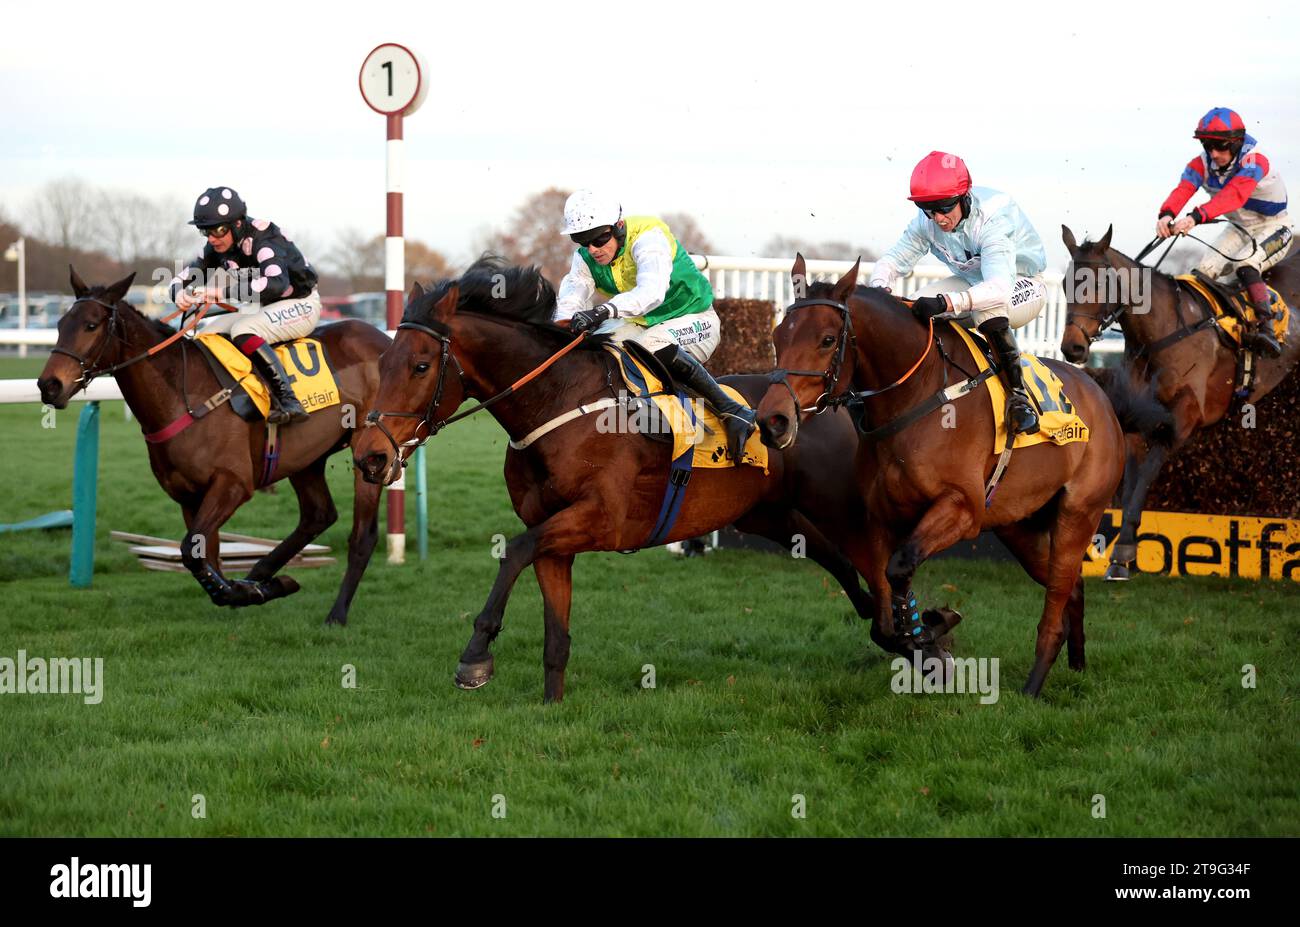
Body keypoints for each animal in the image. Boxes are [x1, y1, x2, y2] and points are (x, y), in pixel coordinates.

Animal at [39, 271, 390, 626]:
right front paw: (251, 589)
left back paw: (336, 613)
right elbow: (205, 554)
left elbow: (191, 553)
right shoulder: (188, 496)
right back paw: (260, 573)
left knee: (362, 536)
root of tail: (385, 341)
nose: (48, 385)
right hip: (307, 457)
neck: (182, 396)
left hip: (370, 453)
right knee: (318, 515)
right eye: (61, 322)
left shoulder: (233, 484)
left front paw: (245, 592)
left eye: (91, 325)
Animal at [759, 253, 1164, 696]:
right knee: (1072, 586)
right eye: (778, 335)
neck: (916, 398)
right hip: (1019, 528)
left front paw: (928, 635)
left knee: (1058, 595)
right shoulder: (880, 519)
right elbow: (883, 620)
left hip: (1078, 513)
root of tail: (1101, 396)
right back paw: (1076, 664)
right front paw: (927, 642)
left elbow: (900, 567)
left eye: (828, 340)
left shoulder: (962, 508)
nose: (773, 420)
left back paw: (1033, 685)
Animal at [1055, 224, 1300, 577]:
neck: (1159, 336)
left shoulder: (1179, 426)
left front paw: (1123, 552)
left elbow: (1143, 483)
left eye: (1101, 283)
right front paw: (1119, 551)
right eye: (1065, 284)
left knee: (1246, 265)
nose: (1072, 348)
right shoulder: (1134, 426)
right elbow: (1129, 488)